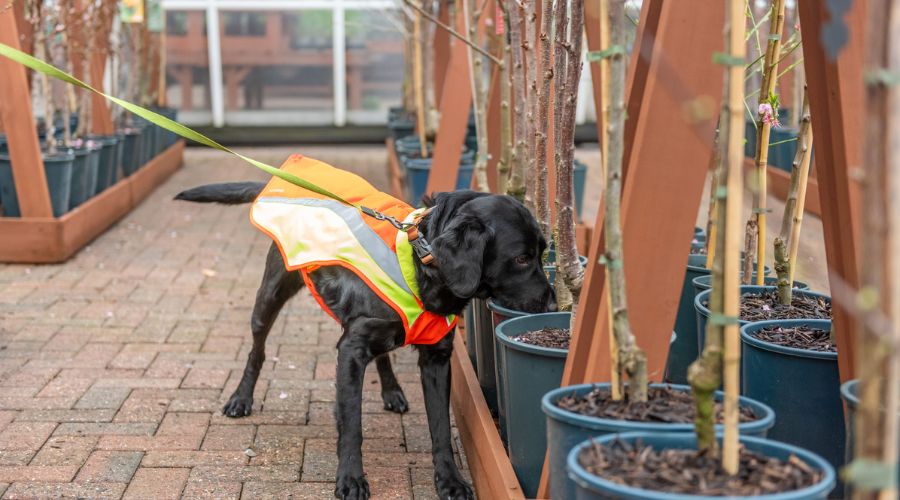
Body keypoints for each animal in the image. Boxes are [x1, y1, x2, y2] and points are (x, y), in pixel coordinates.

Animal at [174, 185, 556, 500]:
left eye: (542, 253)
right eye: (521, 258)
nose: (554, 305)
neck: (420, 263)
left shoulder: (437, 358)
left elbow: (440, 429)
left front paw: (450, 481)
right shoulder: (351, 351)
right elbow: (351, 425)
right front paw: (350, 480)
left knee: (383, 355)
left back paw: (392, 391)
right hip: (269, 297)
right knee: (257, 350)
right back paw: (241, 398)